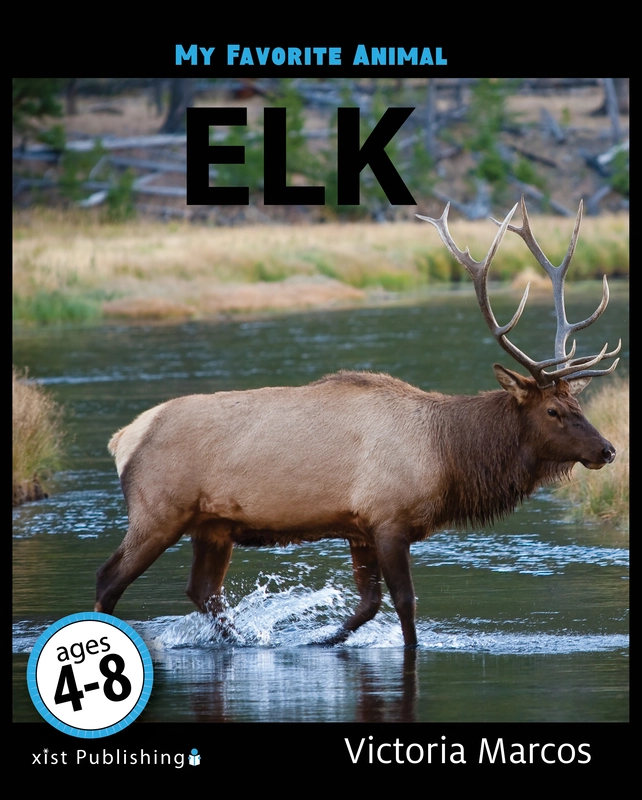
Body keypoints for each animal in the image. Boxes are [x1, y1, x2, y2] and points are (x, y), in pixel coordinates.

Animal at [96, 197, 620, 648]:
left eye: (578, 403)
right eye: (553, 411)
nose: (608, 449)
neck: (448, 456)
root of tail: (121, 438)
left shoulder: (358, 528)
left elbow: (367, 606)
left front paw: (320, 640)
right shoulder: (388, 519)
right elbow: (404, 604)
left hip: (213, 526)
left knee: (203, 591)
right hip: (158, 511)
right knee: (109, 580)